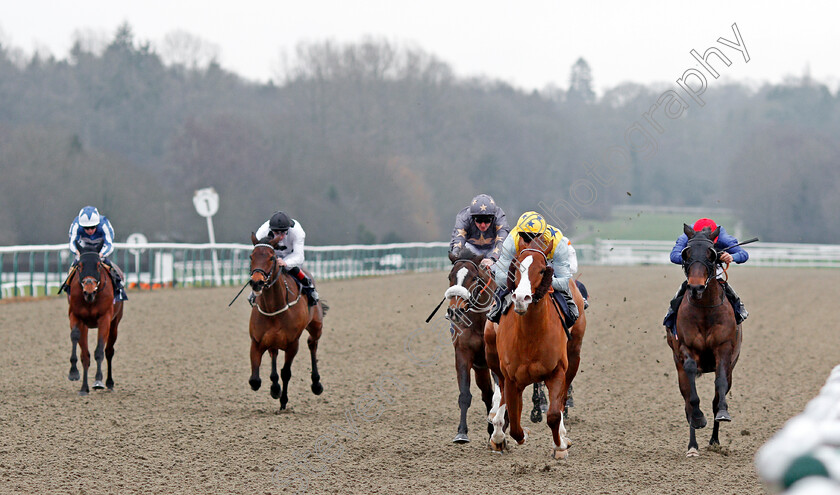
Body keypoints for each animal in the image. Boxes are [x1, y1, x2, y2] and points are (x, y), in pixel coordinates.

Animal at [246, 234, 324, 408]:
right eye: (251, 256)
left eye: (271, 257)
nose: (256, 282)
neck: (273, 309)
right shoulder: (257, 341)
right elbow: (255, 380)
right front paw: (275, 390)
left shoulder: (292, 344)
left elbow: (286, 372)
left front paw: (283, 401)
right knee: (274, 354)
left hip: (316, 327)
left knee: (313, 344)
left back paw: (316, 384)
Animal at [482, 237, 588, 462]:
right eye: (515, 268)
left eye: (541, 270)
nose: (522, 298)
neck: (530, 337)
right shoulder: (511, 377)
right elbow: (514, 422)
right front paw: (511, 436)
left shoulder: (557, 370)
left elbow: (554, 414)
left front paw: (560, 445)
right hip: (492, 354)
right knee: (501, 394)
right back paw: (497, 433)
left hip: (574, 356)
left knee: (562, 398)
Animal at [668, 225, 740, 458]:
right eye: (686, 253)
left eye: (712, 254)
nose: (696, 288)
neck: (705, 310)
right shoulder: (686, 348)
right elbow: (692, 397)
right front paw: (699, 419)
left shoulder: (724, 349)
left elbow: (720, 386)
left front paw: (723, 413)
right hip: (678, 369)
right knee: (688, 403)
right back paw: (693, 445)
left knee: (716, 397)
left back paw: (714, 440)